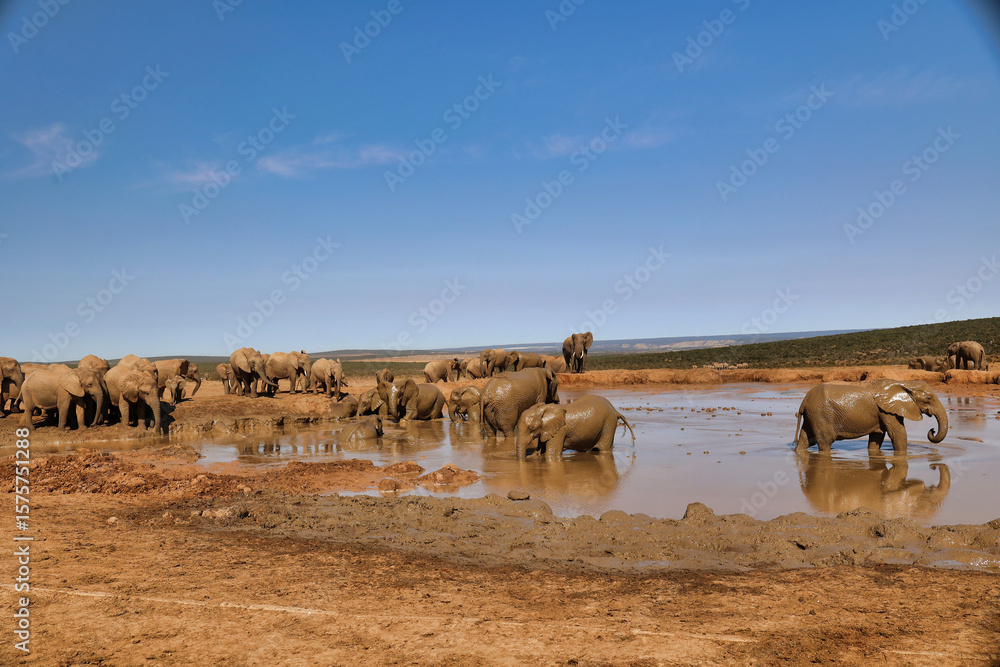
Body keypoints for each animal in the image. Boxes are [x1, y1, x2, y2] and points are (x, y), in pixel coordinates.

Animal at [794, 379, 948, 453]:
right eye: (929, 399)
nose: (932, 430)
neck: (904, 382)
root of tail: (804, 401)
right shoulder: (886, 410)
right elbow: (898, 434)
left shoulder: (883, 411)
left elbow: (877, 436)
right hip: (821, 414)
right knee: (825, 440)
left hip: (812, 415)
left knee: (806, 439)